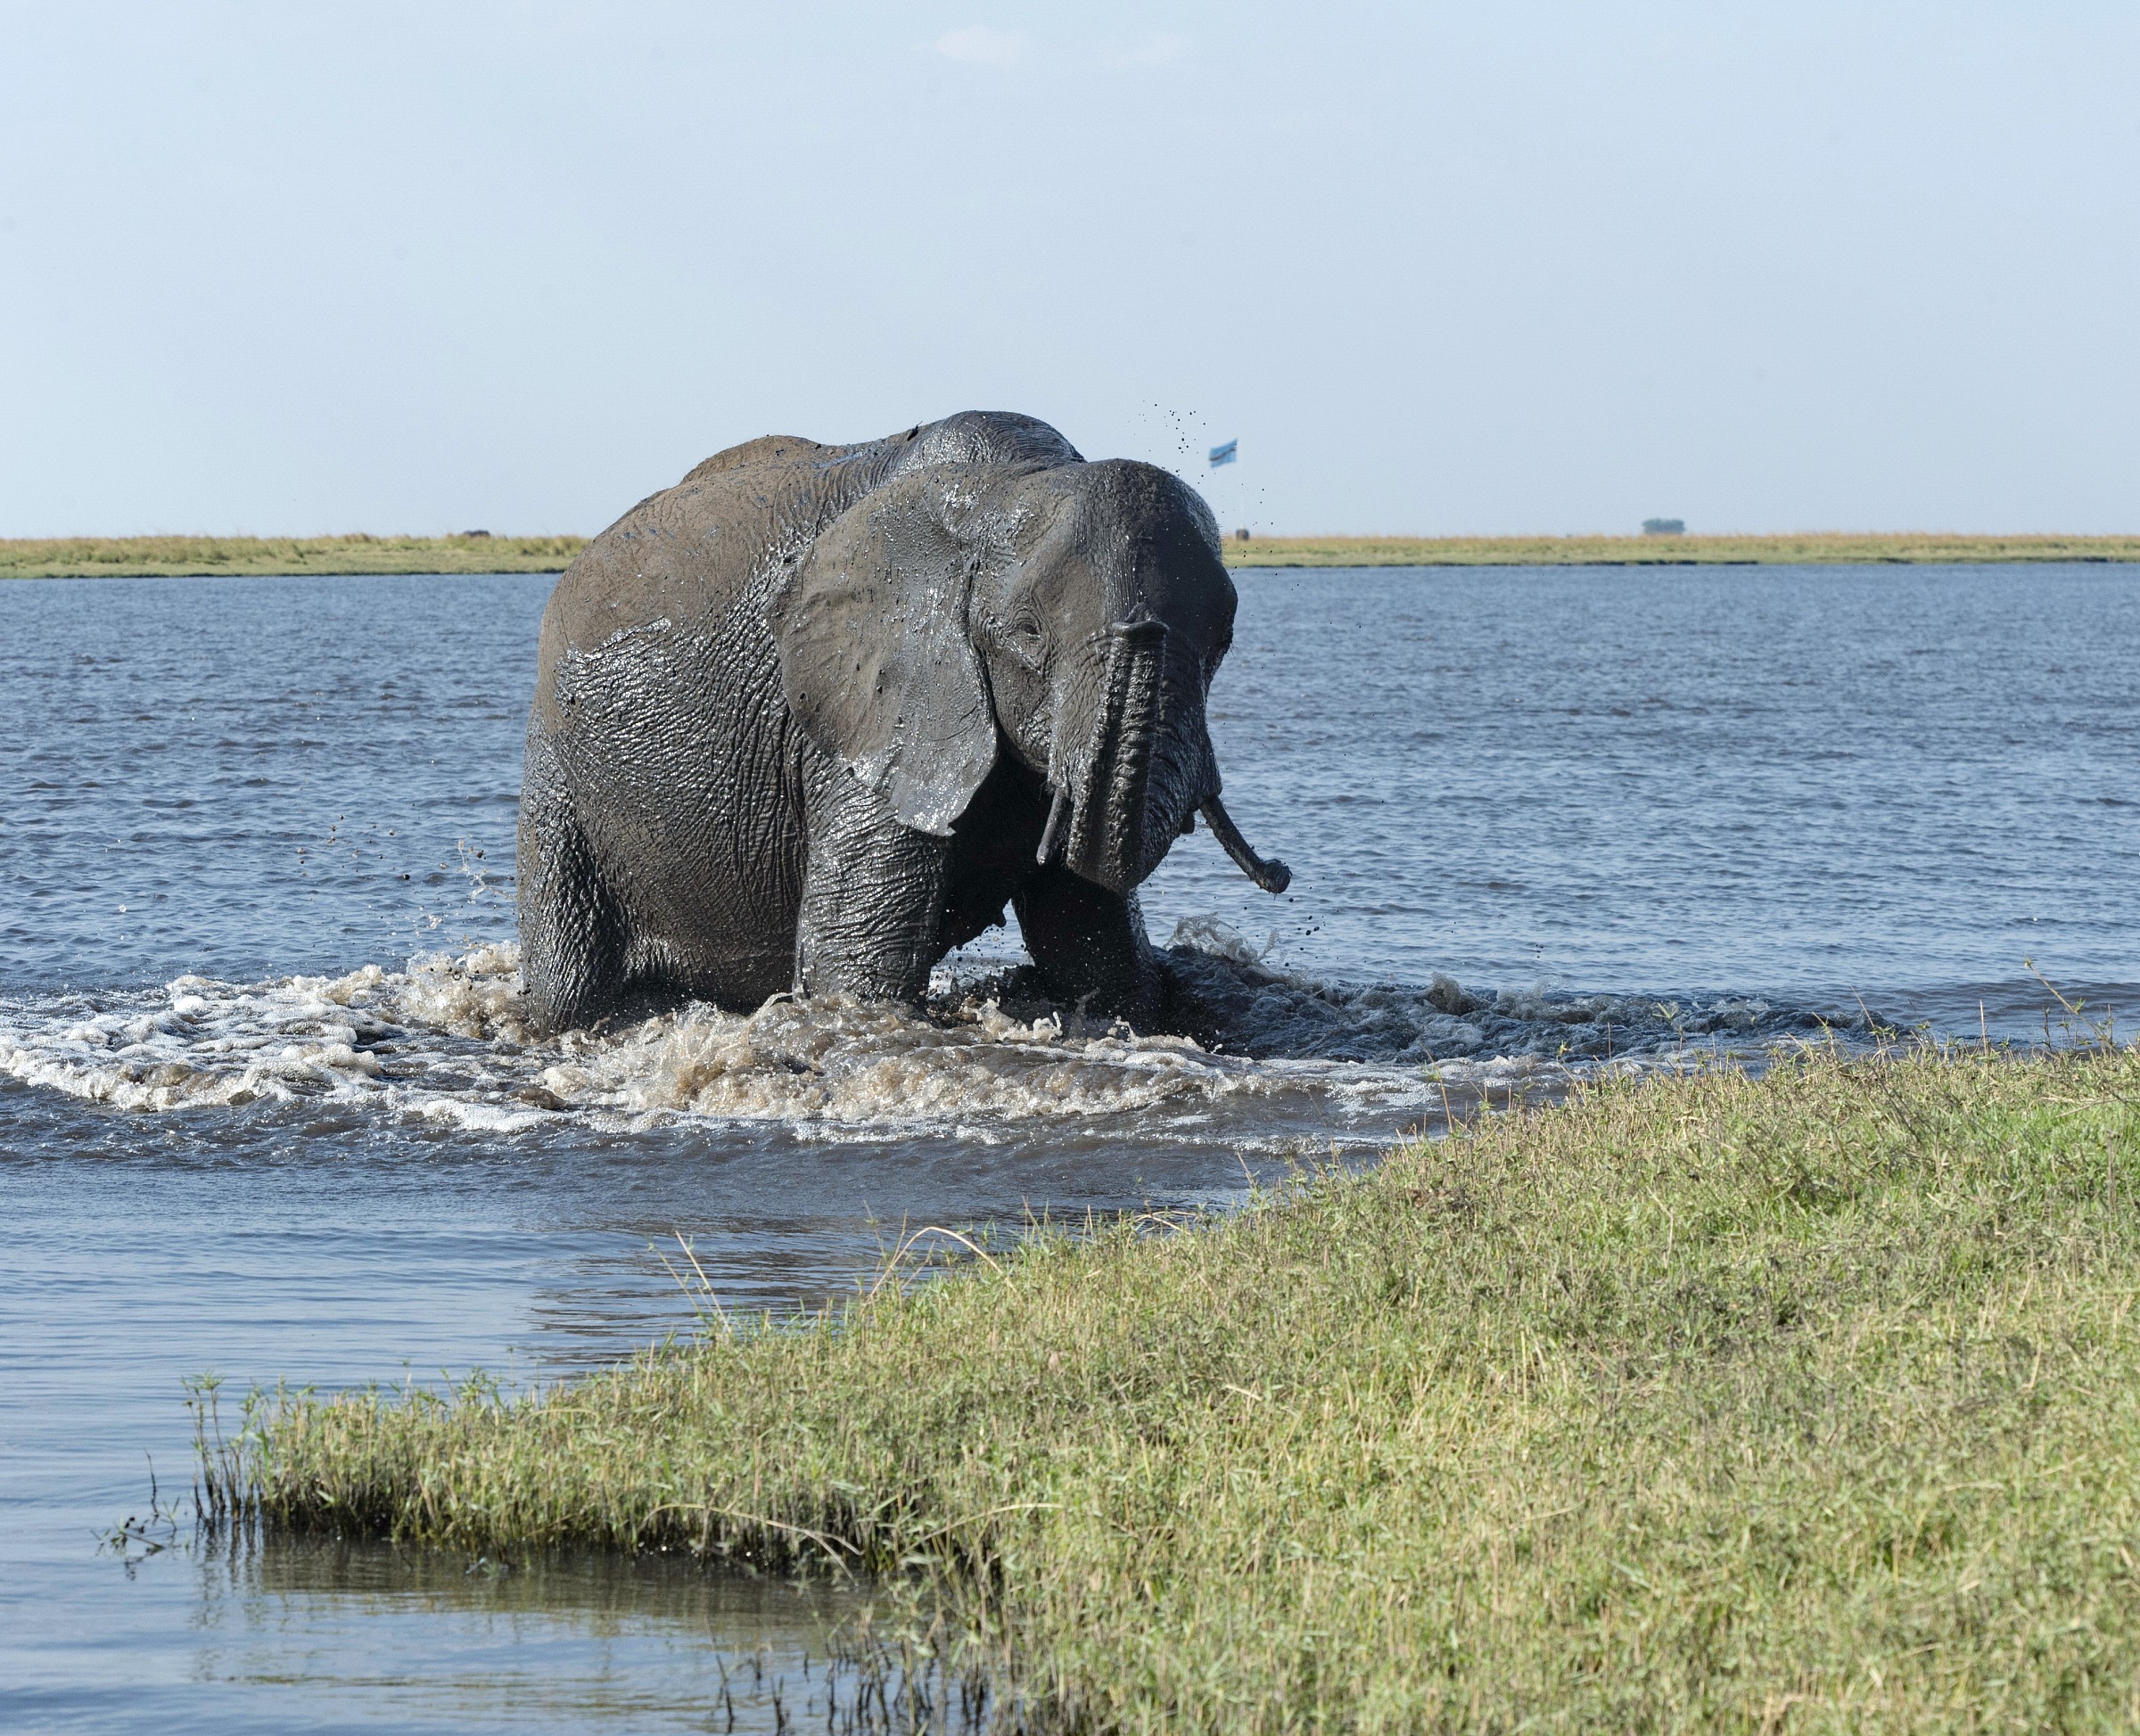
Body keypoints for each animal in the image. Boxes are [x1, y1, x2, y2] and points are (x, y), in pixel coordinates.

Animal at [515, 410, 1291, 1034]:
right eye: (1029, 633)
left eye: (1223, 638)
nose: (1280, 872)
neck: (1009, 484)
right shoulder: (867, 710)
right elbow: (857, 967)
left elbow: (1093, 941)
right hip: (558, 766)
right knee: (568, 984)